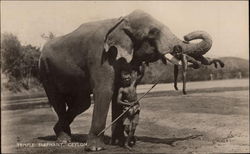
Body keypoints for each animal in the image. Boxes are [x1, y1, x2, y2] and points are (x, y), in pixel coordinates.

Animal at [39, 9, 215, 150]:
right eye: (153, 33)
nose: (186, 37)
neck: (119, 21)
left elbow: (118, 90)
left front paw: (118, 143)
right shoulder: (99, 56)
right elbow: (105, 91)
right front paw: (96, 148)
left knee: (83, 103)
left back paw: (60, 132)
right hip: (45, 71)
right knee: (57, 99)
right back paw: (63, 139)